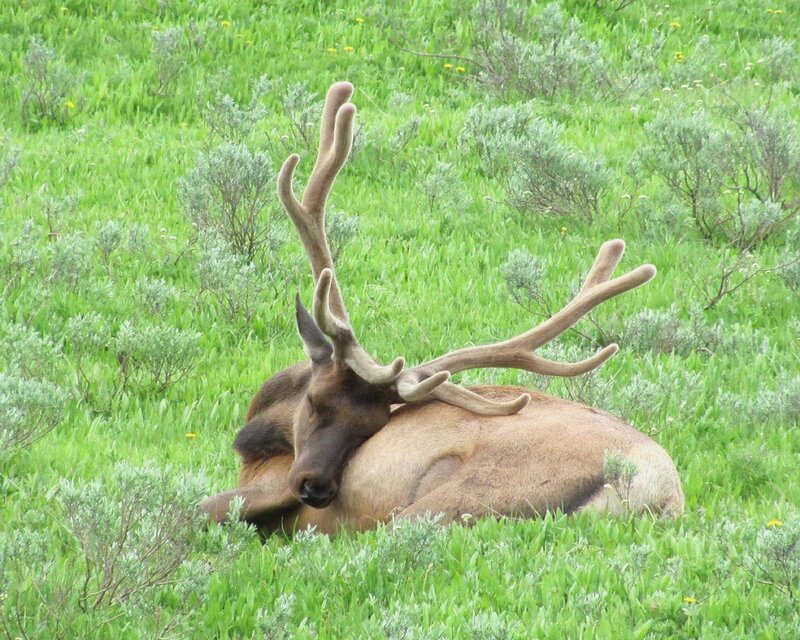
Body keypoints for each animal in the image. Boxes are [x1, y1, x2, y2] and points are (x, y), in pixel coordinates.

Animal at [202, 81, 684, 535]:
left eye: (371, 427)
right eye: (315, 403)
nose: (314, 488)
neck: (259, 435)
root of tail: (653, 489)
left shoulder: (269, 484)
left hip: (459, 496)